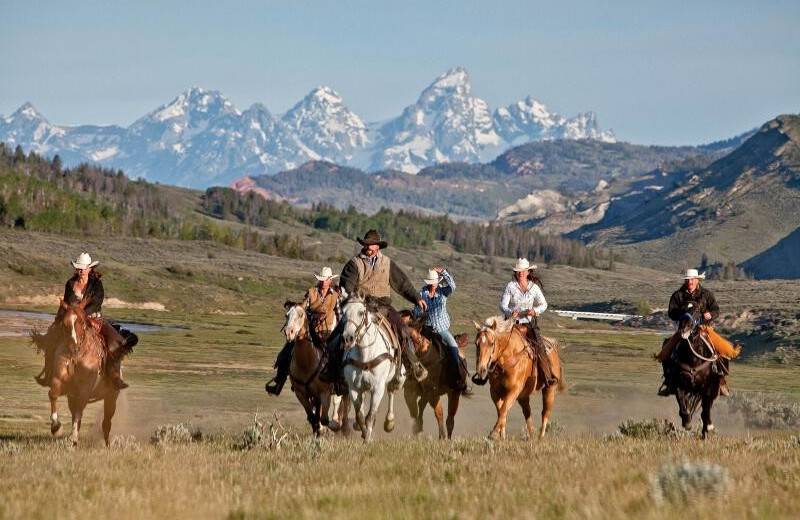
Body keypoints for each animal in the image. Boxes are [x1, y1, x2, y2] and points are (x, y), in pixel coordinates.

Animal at [30, 298, 129, 444]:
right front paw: (56, 426)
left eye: (82, 322)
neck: (77, 356)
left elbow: (79, 411)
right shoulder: (59, 381)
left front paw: (73, 437)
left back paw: (106, 444)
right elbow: (53, 394)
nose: (72, 347)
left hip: (111, 398)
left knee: (106, 423)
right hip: (73, 396)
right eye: (64, 323)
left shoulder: (85, 390)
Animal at [282, 300, 348, 434]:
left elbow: (323, 418)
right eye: (287, 315)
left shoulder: (324, 393)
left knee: (342, 402)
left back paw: (339, 424)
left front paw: (326, 428)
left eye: (301, 315)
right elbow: (313, 418)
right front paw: (318, 430)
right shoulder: (302, 394)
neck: (306, 364)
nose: (289, 332)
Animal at [340, 294, 406, 440]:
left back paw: (389, 422)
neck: (365, 354)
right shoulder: (353, 388)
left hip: (398, 378)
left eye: (360, 312)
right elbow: (360, 416)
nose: (348, 338)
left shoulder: (377, 388)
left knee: (391, 390)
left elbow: (370, 416)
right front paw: (364, 433)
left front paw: (368, 439)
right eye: (343, 313)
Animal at [664, 304, 724, 438]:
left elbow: (705, 411)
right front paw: (687, 422)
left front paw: (708, 428)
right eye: (681, 309)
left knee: (706, 409)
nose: (684, 327)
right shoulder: (678, 384)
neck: (693, 358)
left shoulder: (706, 387)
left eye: (697, 310)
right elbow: (683, 408)